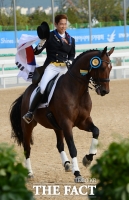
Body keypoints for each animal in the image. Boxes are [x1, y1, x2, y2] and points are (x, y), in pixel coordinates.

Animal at [10, 46, 115, 183]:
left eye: (111, 68)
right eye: (102, 68)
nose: (104, 91)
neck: (76, 90)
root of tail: (27, 91)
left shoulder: (83, 121)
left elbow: (96, 131)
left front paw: (88, 159)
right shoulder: (67, 124)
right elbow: (72, 147)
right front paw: (77, 173)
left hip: (57, 126)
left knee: (59, 145)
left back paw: (67, 164)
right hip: (28, 126)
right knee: (27, 149)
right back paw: (29, 173)